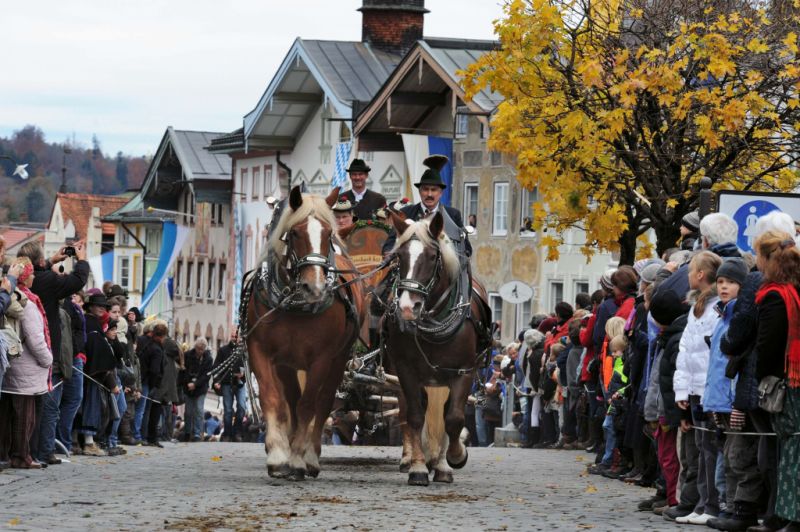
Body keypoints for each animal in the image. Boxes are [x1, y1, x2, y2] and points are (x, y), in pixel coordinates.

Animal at [244, 187, 362, 482]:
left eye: (328, 234)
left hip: (339, 360)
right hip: (288, 364)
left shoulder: (322, 359)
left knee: (323, 402)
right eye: (295, 233)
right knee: (291, 400)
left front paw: (297, 458)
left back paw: (310, 457)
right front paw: (278, 456)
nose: (315, 287)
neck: (295, 305)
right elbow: (273, 400)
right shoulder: (262, 351)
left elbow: (309, 405)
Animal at [382, 210, 490, 484]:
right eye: (399, 256)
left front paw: (456, 457)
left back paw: (441, 465)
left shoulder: (463, 372)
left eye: (432, 257)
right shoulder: (406, 370)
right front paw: (419, 468)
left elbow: (453, 419)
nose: (407, 308)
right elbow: (414, 416)